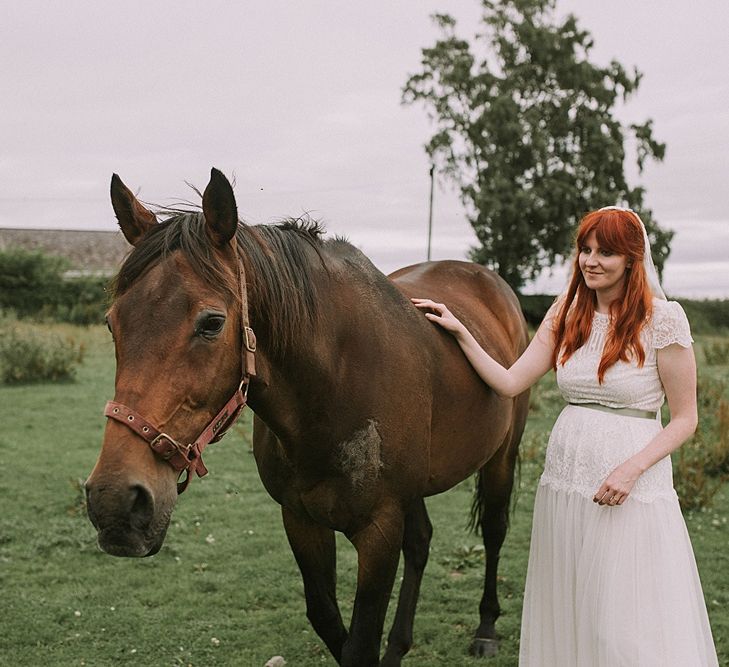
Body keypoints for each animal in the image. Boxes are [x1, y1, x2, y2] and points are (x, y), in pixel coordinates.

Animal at [85, 170, 528, 664]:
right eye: (112, 323)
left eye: (212, 323)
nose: (115, 502)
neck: (334, 383)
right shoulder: (301, 520)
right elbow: (328, 620)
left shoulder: (379, 530)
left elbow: (360, 641)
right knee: (421, 542)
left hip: (500, 458)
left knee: (493, 531)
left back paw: (486, 628)